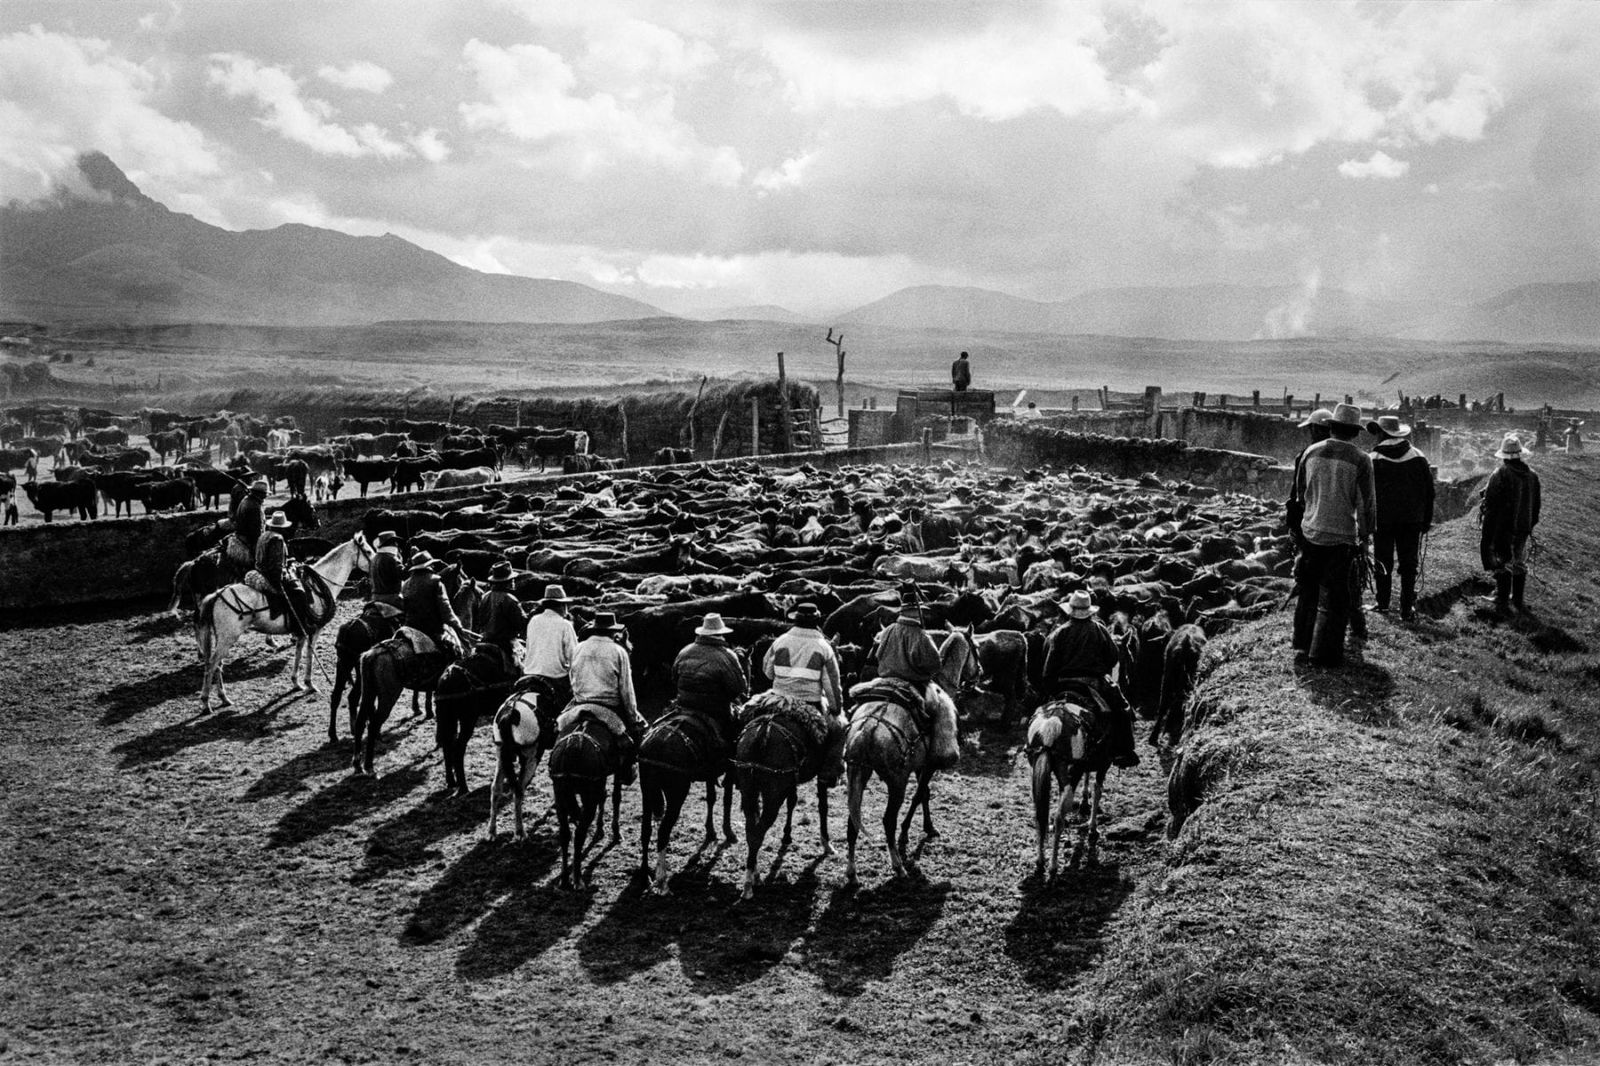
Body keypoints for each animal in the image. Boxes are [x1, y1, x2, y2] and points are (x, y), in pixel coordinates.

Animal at [193, 534, 374, 710]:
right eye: (368, 551)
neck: (317, 587)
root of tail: (217, 595)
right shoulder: (314, 631)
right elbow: (310, 653)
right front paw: (310, 684)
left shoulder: (302, 632)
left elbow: (299, 652)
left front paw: (296, 683)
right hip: (227, 638)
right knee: (212, 664)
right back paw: (206, 702)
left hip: (223, 639)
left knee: (217, 665)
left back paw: (223, 698)